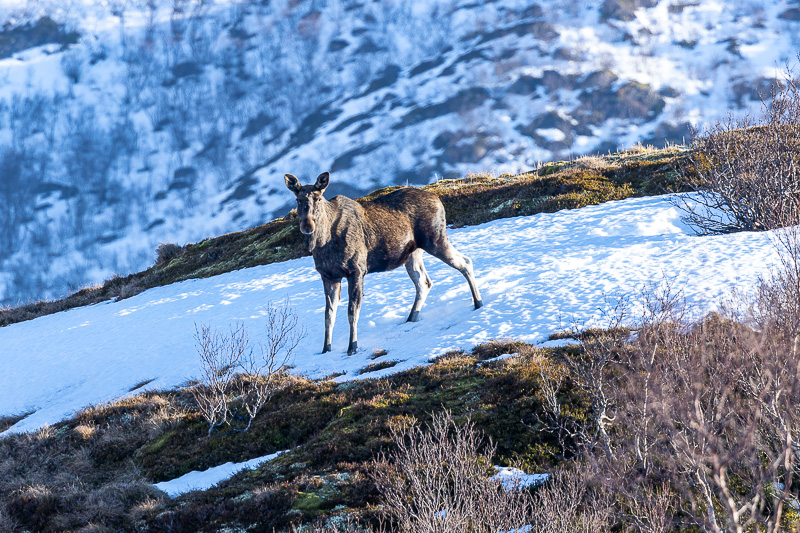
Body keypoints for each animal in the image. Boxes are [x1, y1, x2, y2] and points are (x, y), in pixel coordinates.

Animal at [285, 171, 483, 355]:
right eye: (297, 200)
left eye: (318, 198)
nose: (307, 226)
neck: (323, 244)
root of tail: (438, 200)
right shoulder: (328, 276)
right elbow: (328, 316)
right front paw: (326, 349)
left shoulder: (356, 270)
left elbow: (352, 312)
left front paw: (352, 347)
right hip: (413, 253)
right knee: (424, 282)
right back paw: (411, 318)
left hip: (436, 239)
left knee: (465, 262)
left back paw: (478, 303)